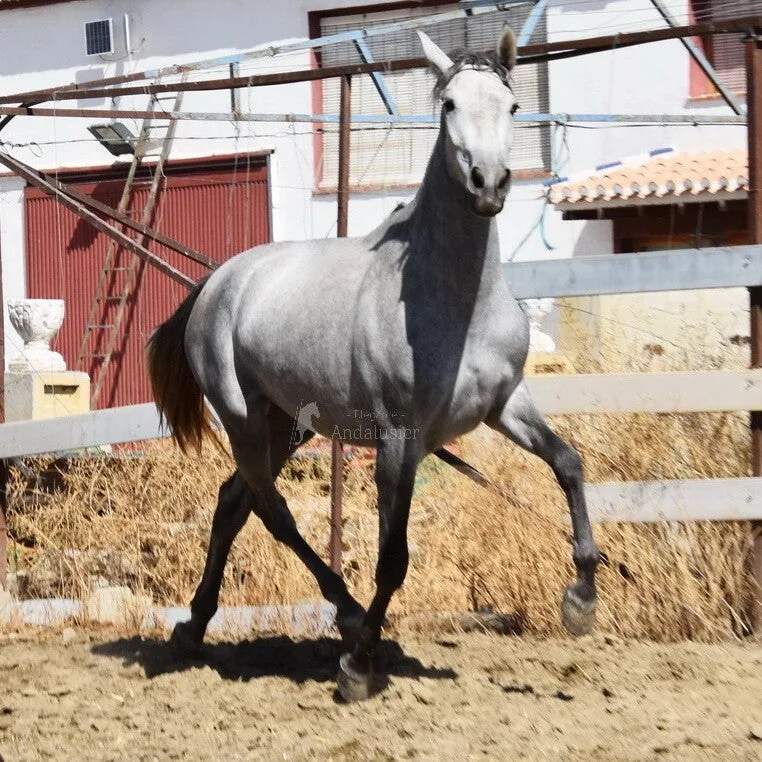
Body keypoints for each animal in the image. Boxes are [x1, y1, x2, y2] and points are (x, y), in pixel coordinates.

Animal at [147, 27, 600, 702]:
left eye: (514, 105)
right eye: (448, 105)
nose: (488, 183)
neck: (454, 303)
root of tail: (217, 281)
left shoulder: (505, 404)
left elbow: (569, 463)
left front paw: (581, 600)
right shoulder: (399, 438)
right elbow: (393, 557)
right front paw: (358, 668)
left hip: (287, 424)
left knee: (233, 503)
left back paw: (195, 628)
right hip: (243, 417)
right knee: (272, 511)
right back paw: (347, 615)